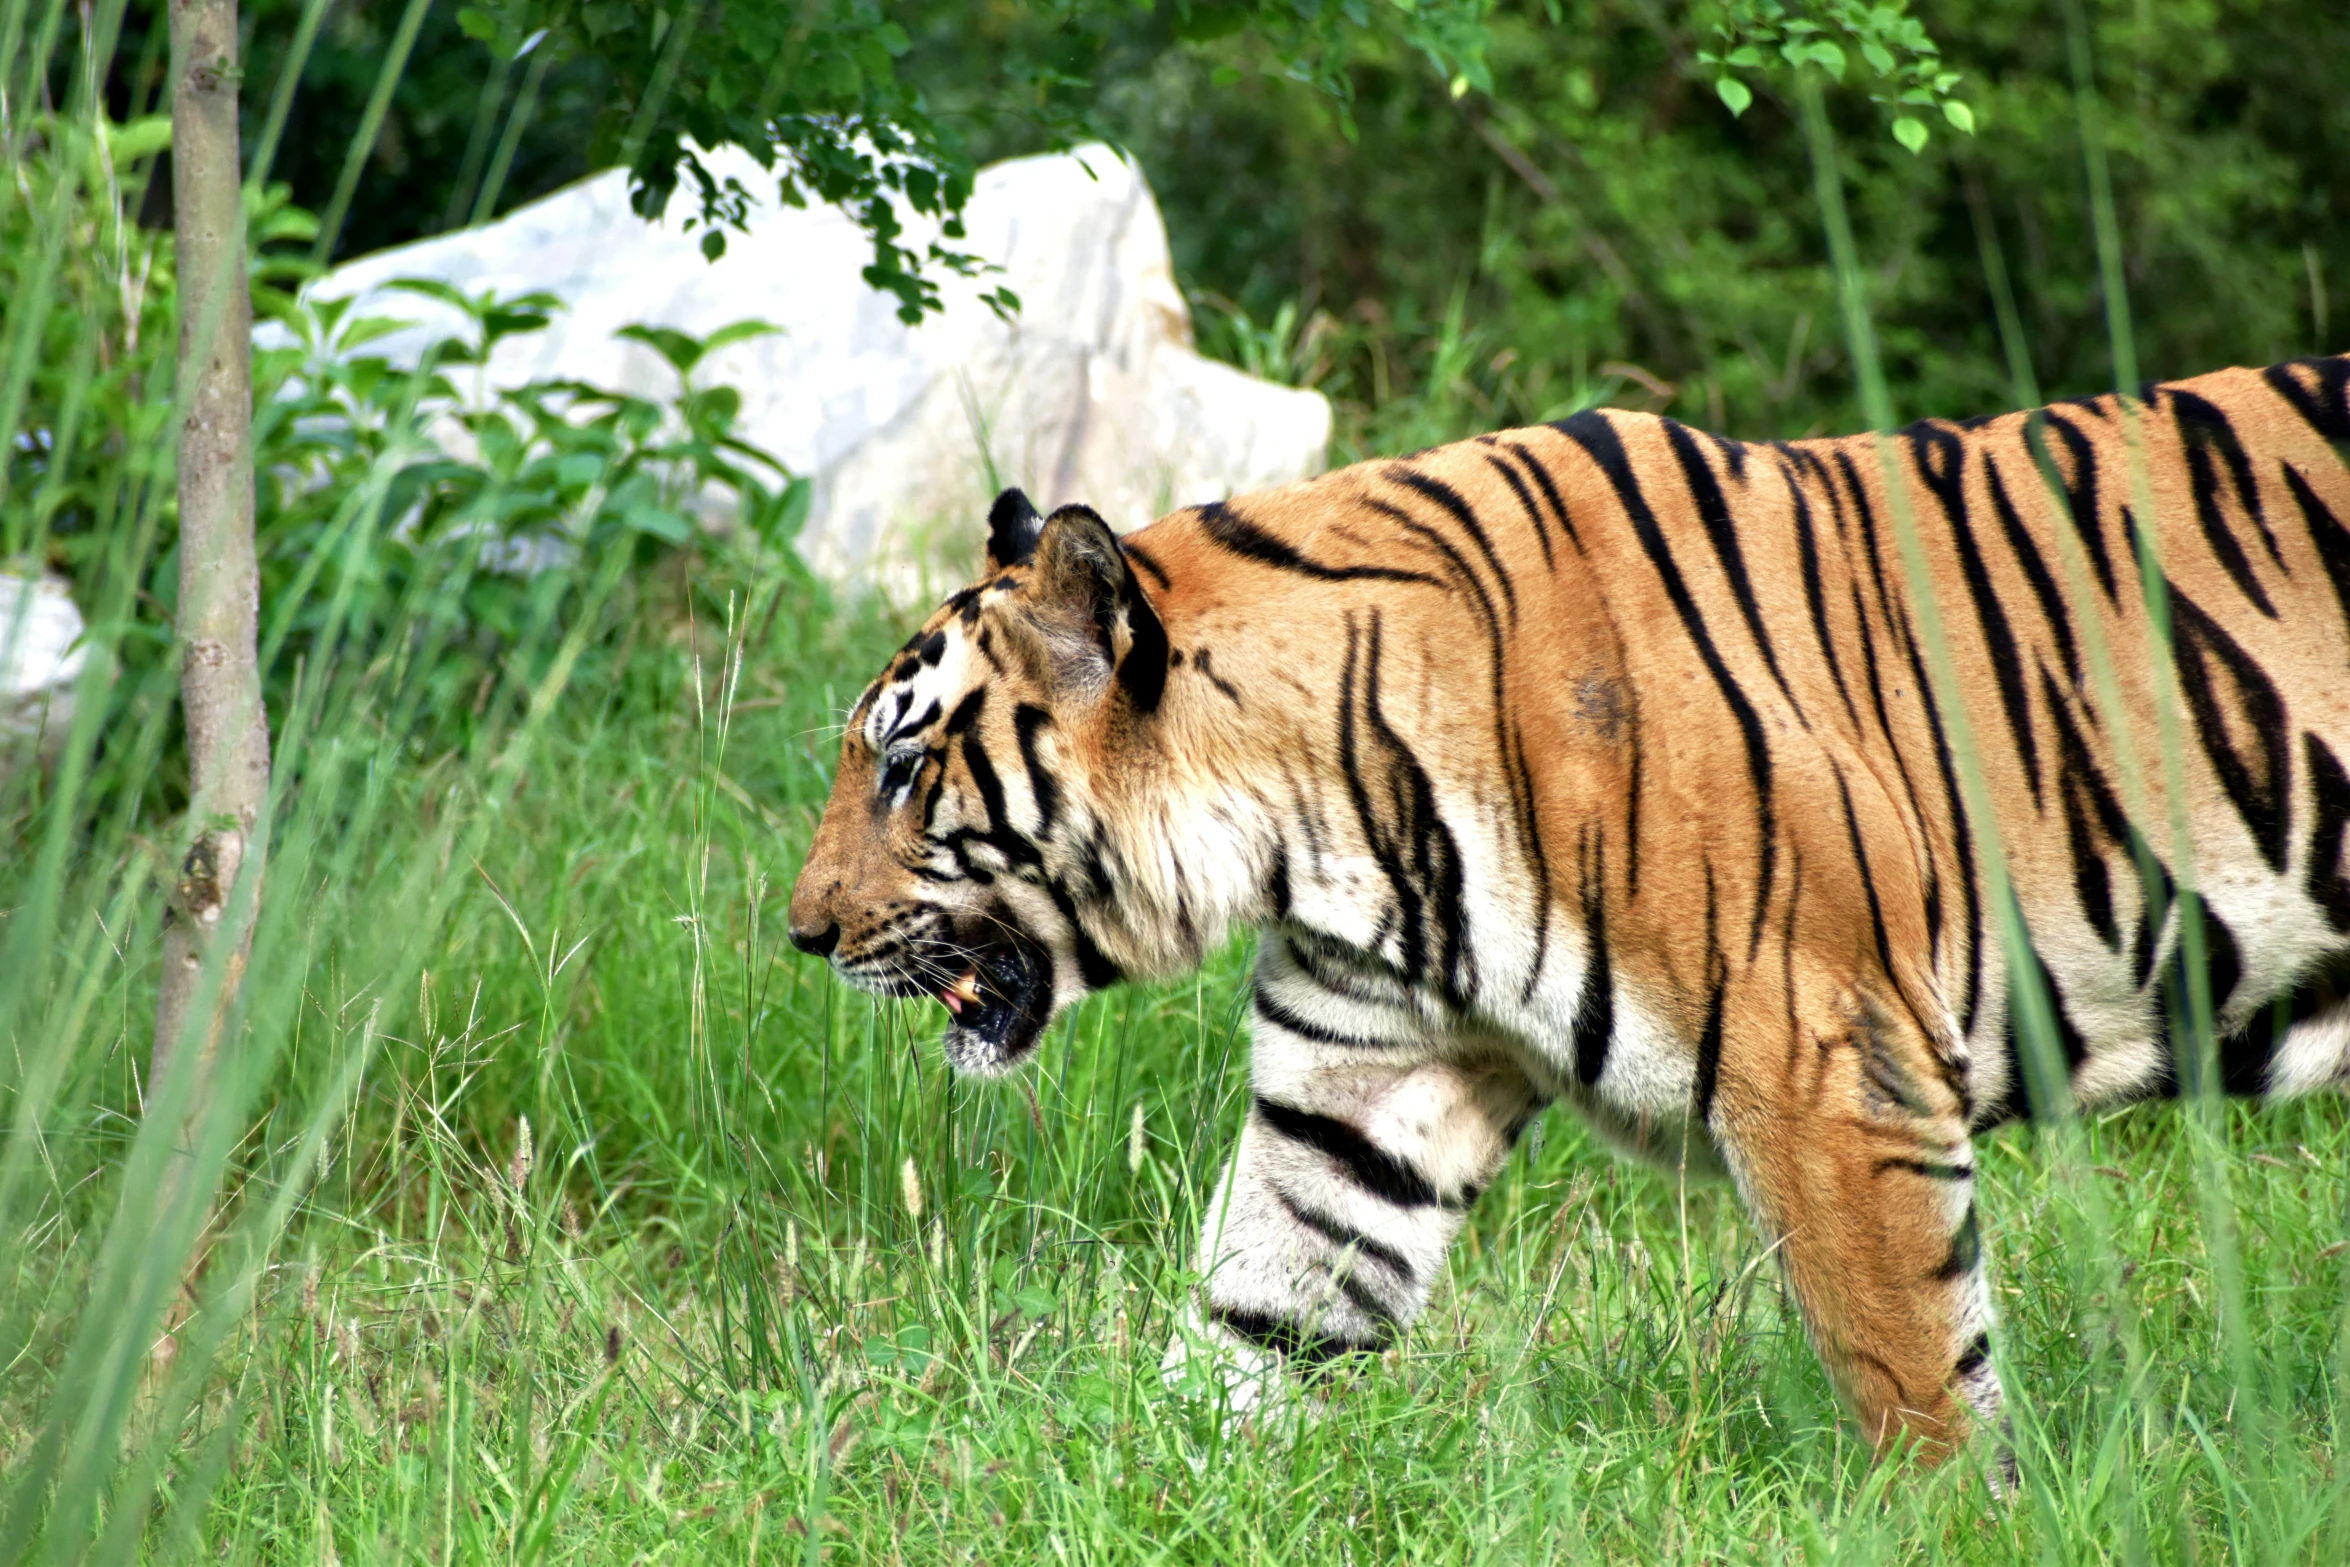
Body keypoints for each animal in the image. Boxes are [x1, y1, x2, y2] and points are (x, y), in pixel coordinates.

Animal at [784, 350, 2350, 1465]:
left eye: (907, 762)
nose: (800, 933)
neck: (1322, 821)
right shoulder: (1359, 1084)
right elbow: (1260, 1316)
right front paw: (1160, 1491)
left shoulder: (1828, 1065)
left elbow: (1912, 1370)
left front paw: (1966, 1521)